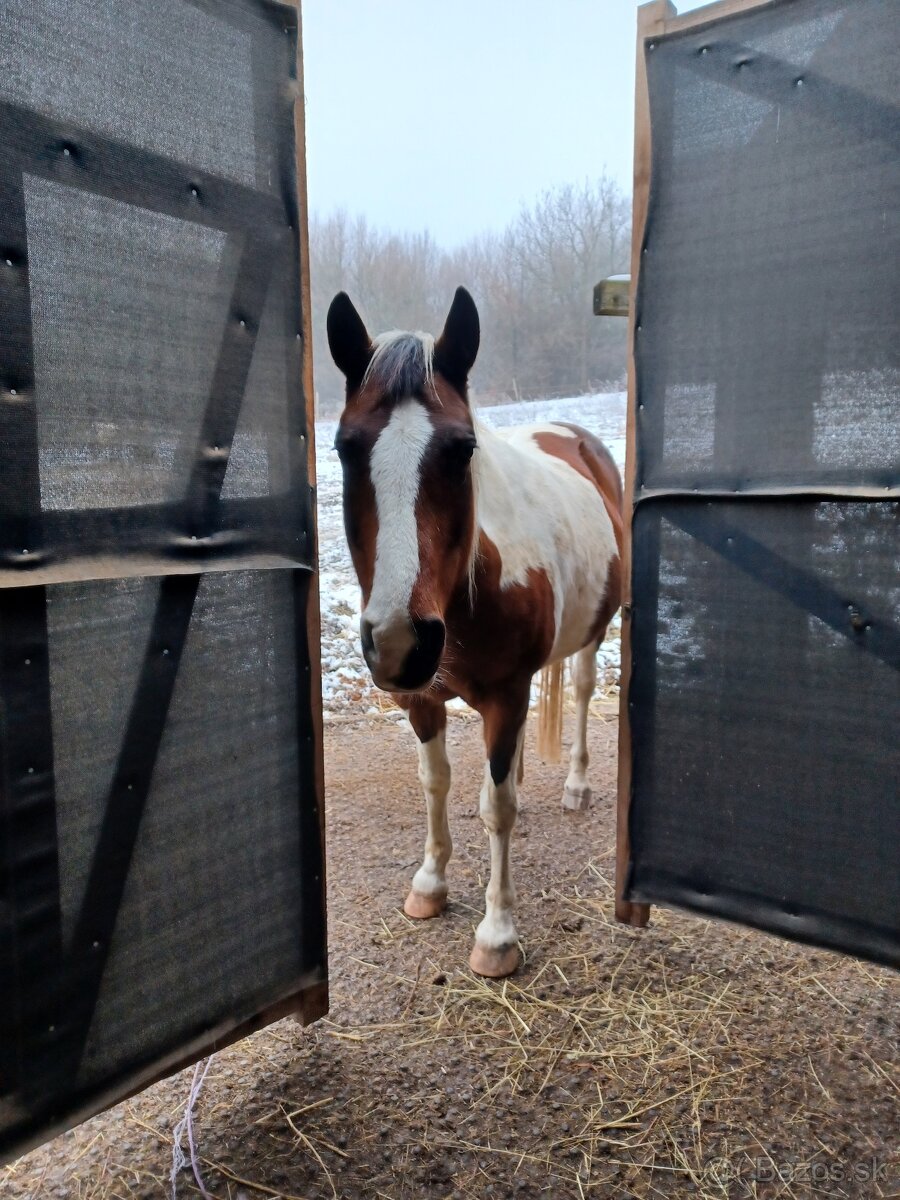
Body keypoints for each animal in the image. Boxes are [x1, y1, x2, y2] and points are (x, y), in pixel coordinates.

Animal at [328, 288, 624, 974]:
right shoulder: (422, 700)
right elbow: (435, 782)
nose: (401, 641)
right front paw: (430, 884)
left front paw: (497, 933)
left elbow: (496, 809)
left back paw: (576, 785)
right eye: (345, 448)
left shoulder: (507, 694)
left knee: (580, 692)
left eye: (462, 449)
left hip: (594, 635)